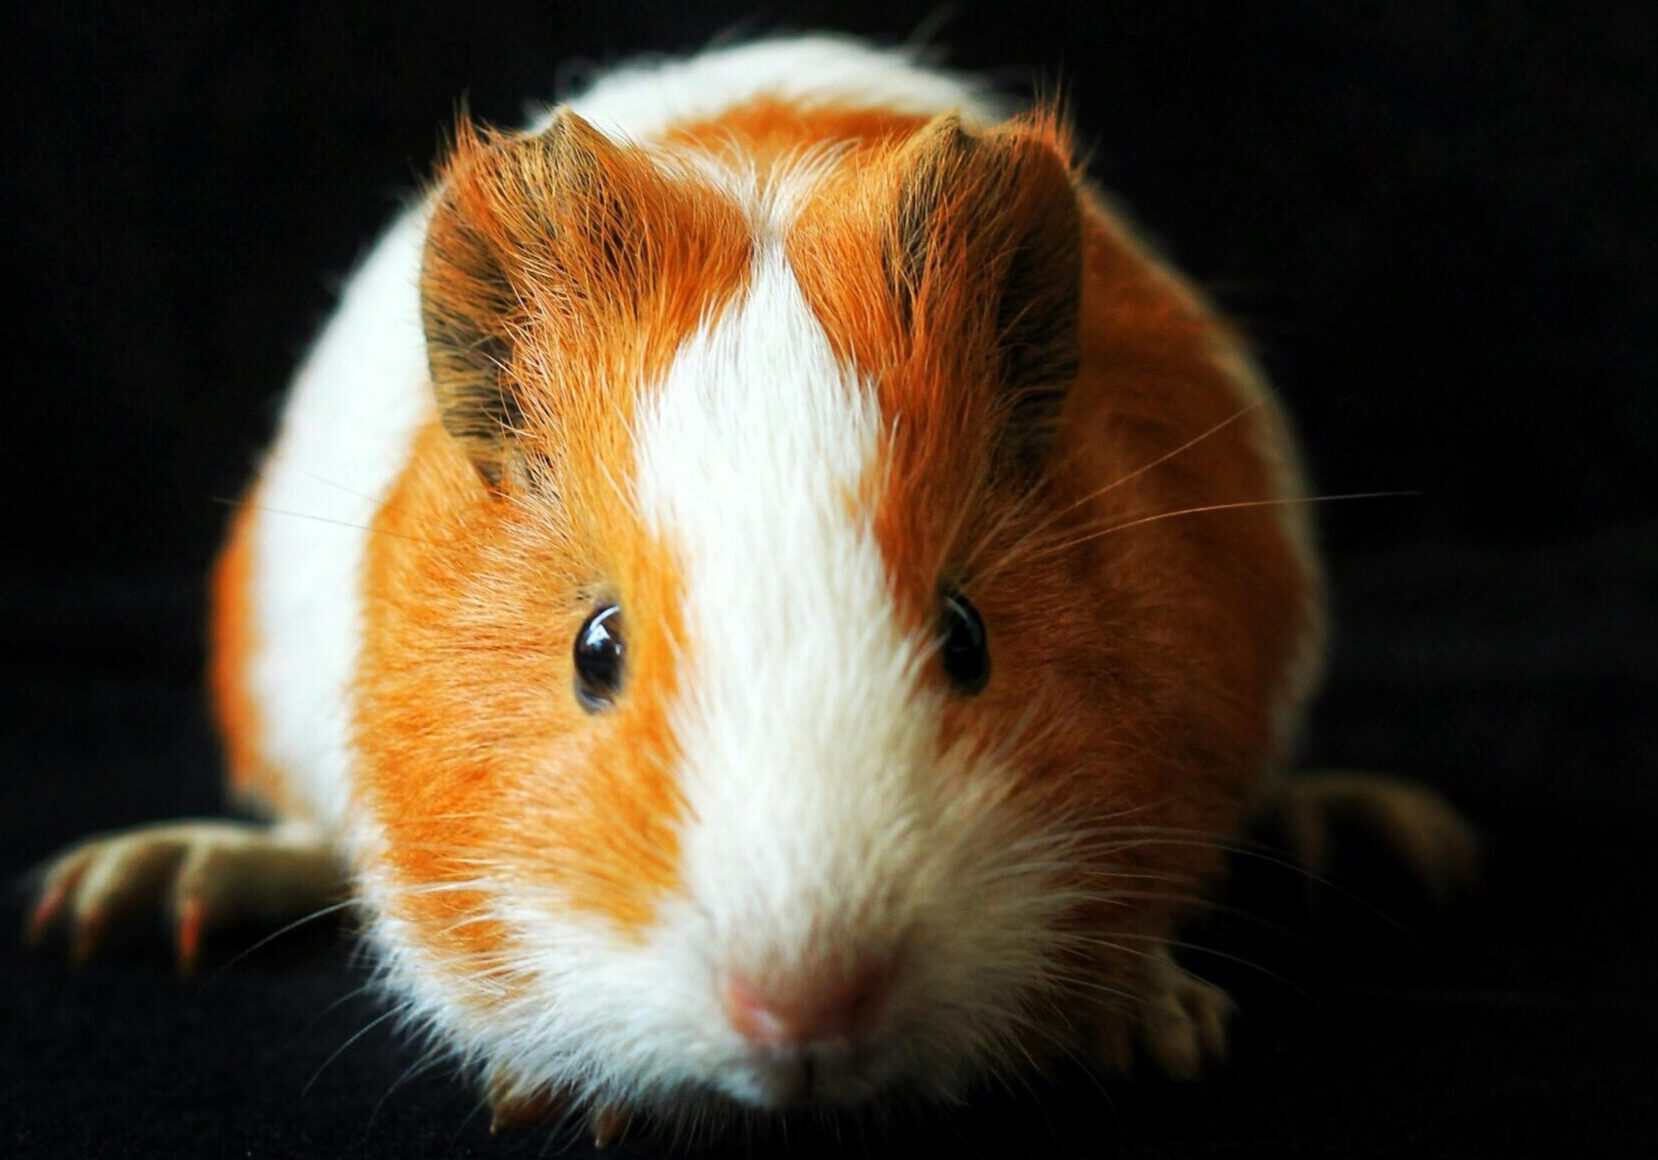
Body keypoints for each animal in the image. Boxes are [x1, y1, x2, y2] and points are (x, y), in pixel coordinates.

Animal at [27, 35, 1476, 1142]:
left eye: (967, 637)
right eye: (595, 649)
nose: (807, 1005)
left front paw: (1159, 1030)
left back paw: (1377, 832)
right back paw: (133, 889)